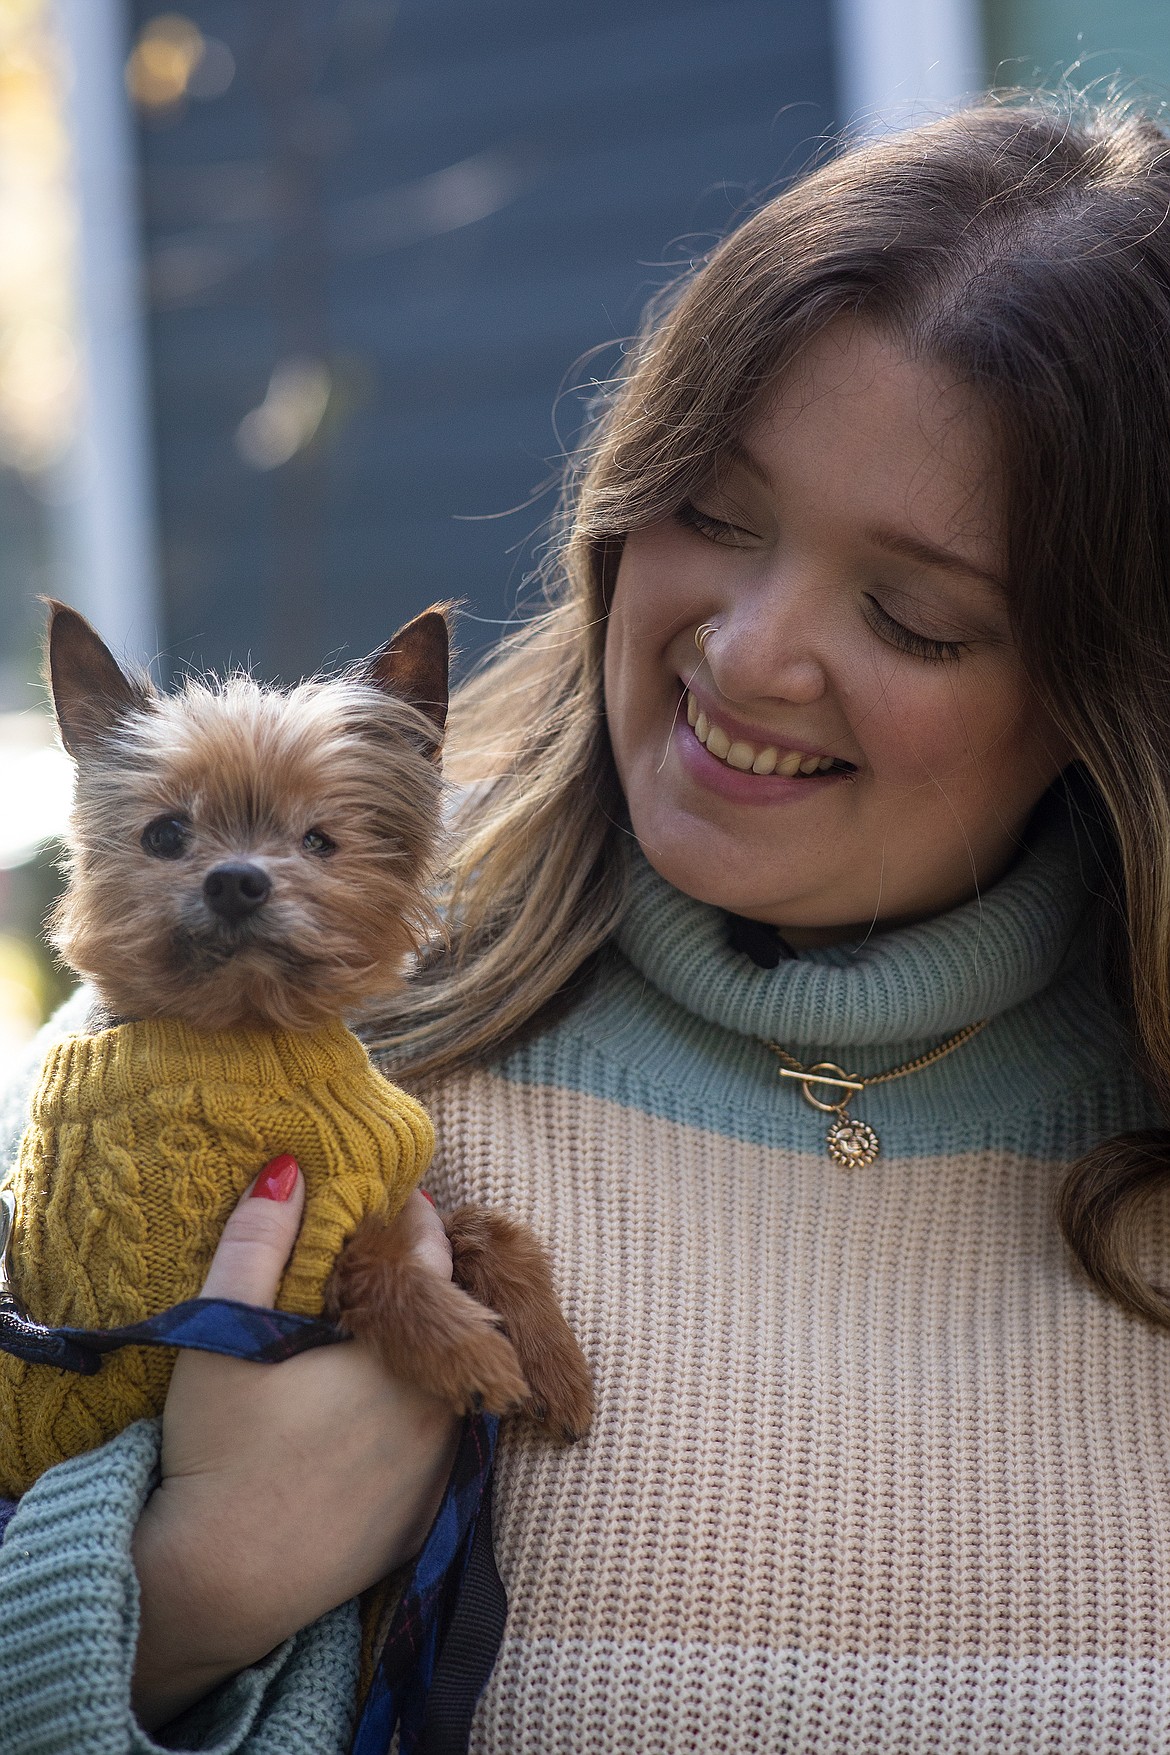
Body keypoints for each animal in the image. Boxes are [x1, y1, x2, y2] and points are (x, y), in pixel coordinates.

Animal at [0, 603, 589, 1495]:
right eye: (165, 834)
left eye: (319, 840)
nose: (236, 879)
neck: (251, 1032)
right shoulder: (231, 1296)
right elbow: (366, 1260)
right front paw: (464, 1348)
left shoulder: (398, 1192)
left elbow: (485, 1226)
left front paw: (552, 1357)